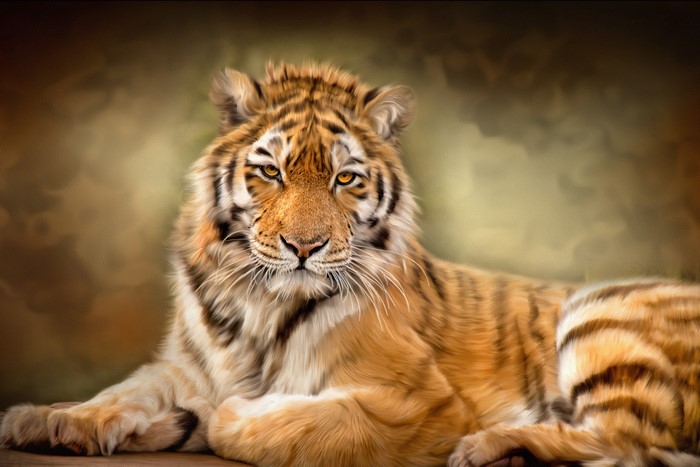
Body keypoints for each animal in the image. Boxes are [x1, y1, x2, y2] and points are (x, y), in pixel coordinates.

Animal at [1, 62, 699, 467]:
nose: (303, 247)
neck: (260, 300)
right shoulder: (186, 365)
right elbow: (125, 389)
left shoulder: (417, 401)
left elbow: (300, 424)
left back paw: (489, 447)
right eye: (270, 172)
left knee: (625, 442)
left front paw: (225, 417)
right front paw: (49, 419)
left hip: (598, 309)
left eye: (345, 178)